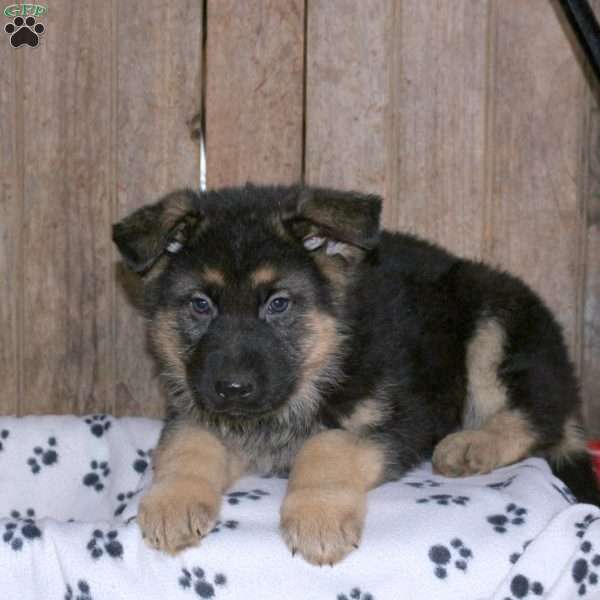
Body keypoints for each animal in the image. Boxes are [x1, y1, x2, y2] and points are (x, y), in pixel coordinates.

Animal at [112, 185, 600, 564]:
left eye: (278, 304)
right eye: (200, 305)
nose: (232, 389)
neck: (324, 361)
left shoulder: (406, 418)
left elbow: (329, 446)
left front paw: (316, 515)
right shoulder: (196, 407)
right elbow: (187, 444)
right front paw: (173, 500)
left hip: (492, 315)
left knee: (539, 415)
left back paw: (472, 445)